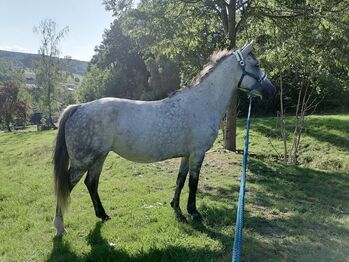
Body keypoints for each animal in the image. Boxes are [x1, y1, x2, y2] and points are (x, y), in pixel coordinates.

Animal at [52, 43, 274, 235]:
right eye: (256, 65)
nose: (272, 91)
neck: (202, 102)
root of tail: (79, 107)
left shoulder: (187, 154)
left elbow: (180, 179)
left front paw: (177, 209)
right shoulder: (197, 153)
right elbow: (193, 183)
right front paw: (194, 212)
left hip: (100, 157)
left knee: (91, 183)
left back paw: (103, 215)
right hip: (83, 162)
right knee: (66, 187)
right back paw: (60, 227)